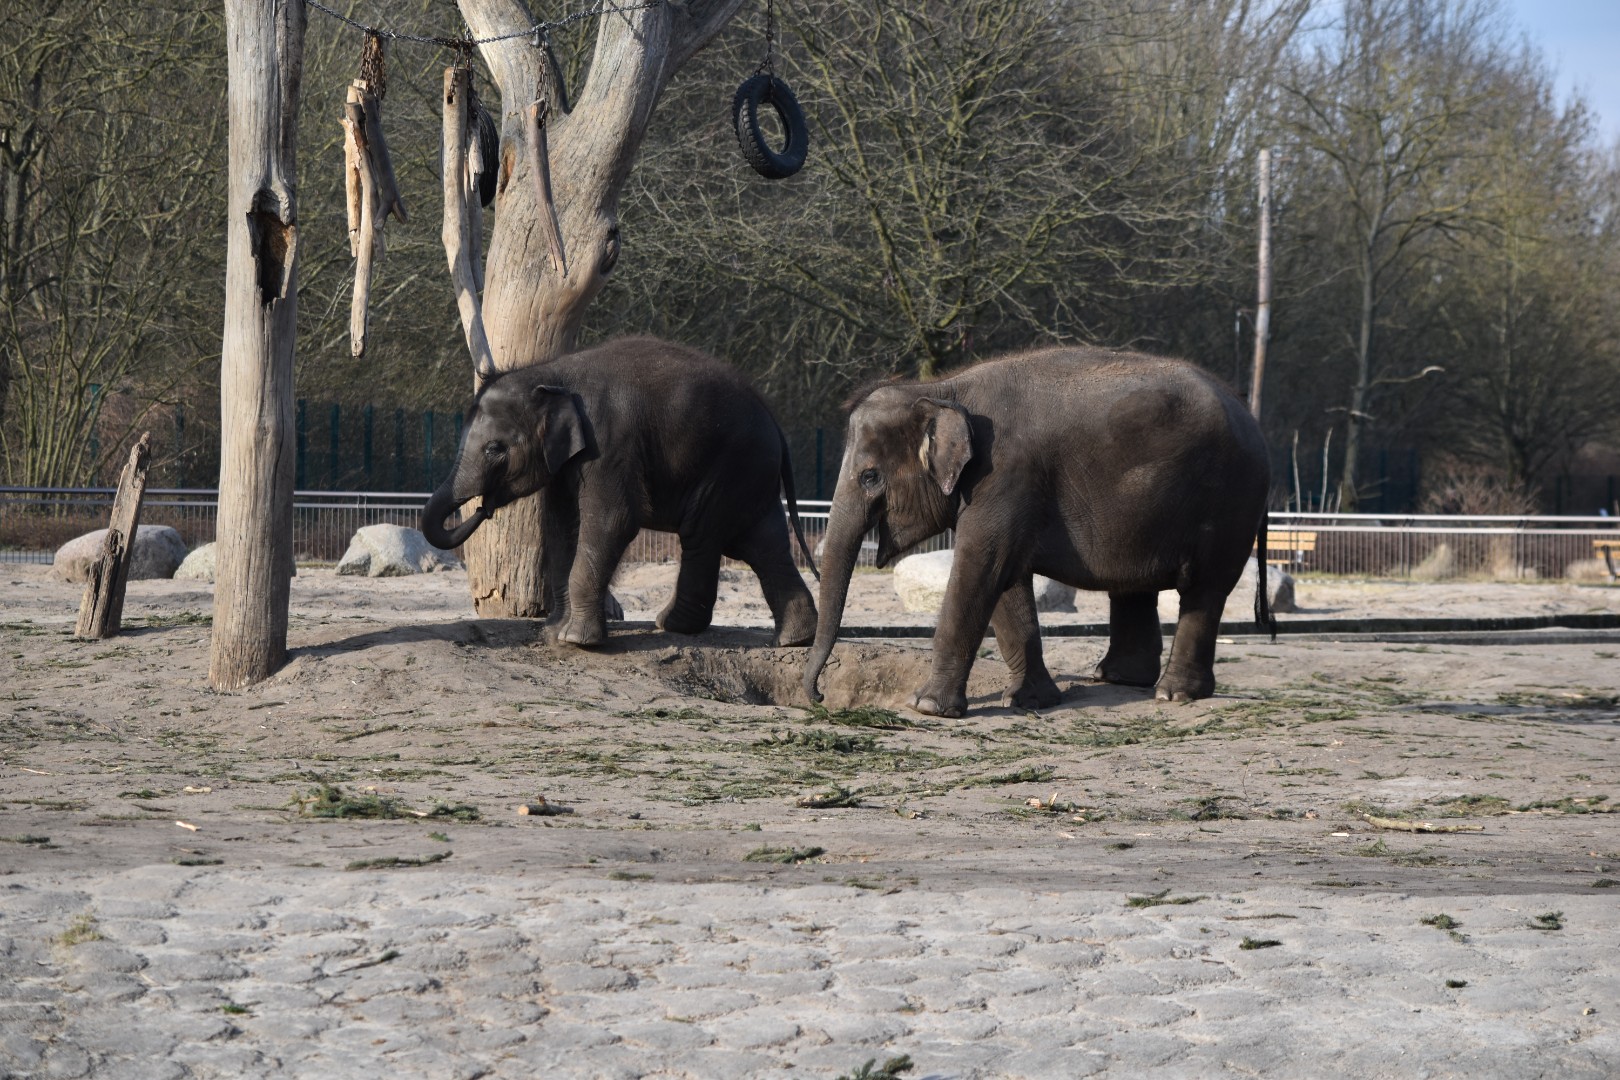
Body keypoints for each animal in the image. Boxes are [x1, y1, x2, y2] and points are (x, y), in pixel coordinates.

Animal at [421, 337, 819, 648]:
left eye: (494, 449)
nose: (483, 508)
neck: (553, 374)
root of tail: (775, 424)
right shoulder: (569, 459)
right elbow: (562, 527)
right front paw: (553, 634)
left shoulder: (610, 443)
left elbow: (612, 522)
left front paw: (577, 641)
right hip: (750, 476)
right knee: (763, 542)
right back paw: (794, 639)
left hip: (729, 467)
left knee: (703, 535)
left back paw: (672, 626)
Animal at [804, 345, 1274, 717]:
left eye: (869, 478)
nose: (819, 696)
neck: (944, 389)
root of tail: (1253, 420)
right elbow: (1005, 579)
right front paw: (1031, 701)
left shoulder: (1005, 475)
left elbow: (981, 567)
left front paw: (927, 707)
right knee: (1134, 586)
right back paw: (1118, 681)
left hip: (1229, 503)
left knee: (1204, 590)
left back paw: (1173, 695)